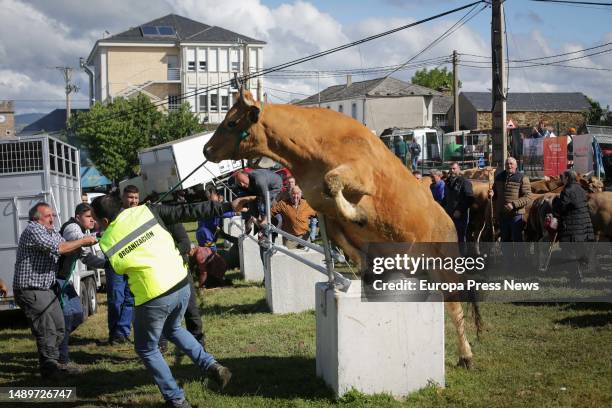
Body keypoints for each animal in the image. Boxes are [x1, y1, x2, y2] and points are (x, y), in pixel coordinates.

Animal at [206, 89, 482, 370]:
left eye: (232, 122)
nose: (207, 149)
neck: (310, 150)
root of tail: (447, 221)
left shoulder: (360, 176)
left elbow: (333, 182)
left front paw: (359, 215)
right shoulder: (323, 210)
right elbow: (338, 237)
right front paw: (353, 272)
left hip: (445, 265)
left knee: (455, 307)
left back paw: (466, 355)